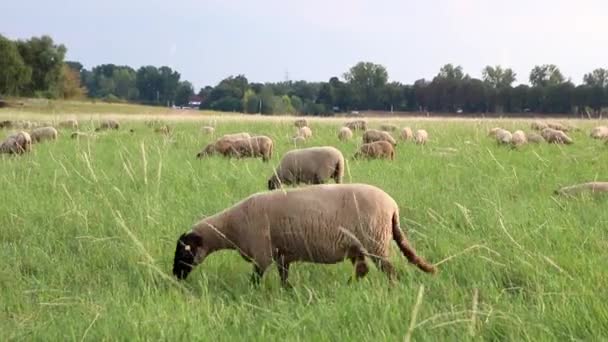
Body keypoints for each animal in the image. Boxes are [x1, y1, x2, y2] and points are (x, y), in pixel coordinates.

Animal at [172, 183, 436, 288]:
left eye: (184, 251)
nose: (175, 276)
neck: (231, 228)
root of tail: (393, 207)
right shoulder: (281, 255)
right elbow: (283, 277)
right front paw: (288, 292)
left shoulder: (262, 253)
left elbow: (256, 278)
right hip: (359, 246)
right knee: (362, 270)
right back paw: (348, 287)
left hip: (376, 242)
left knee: (390, 272)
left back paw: (390, 289)